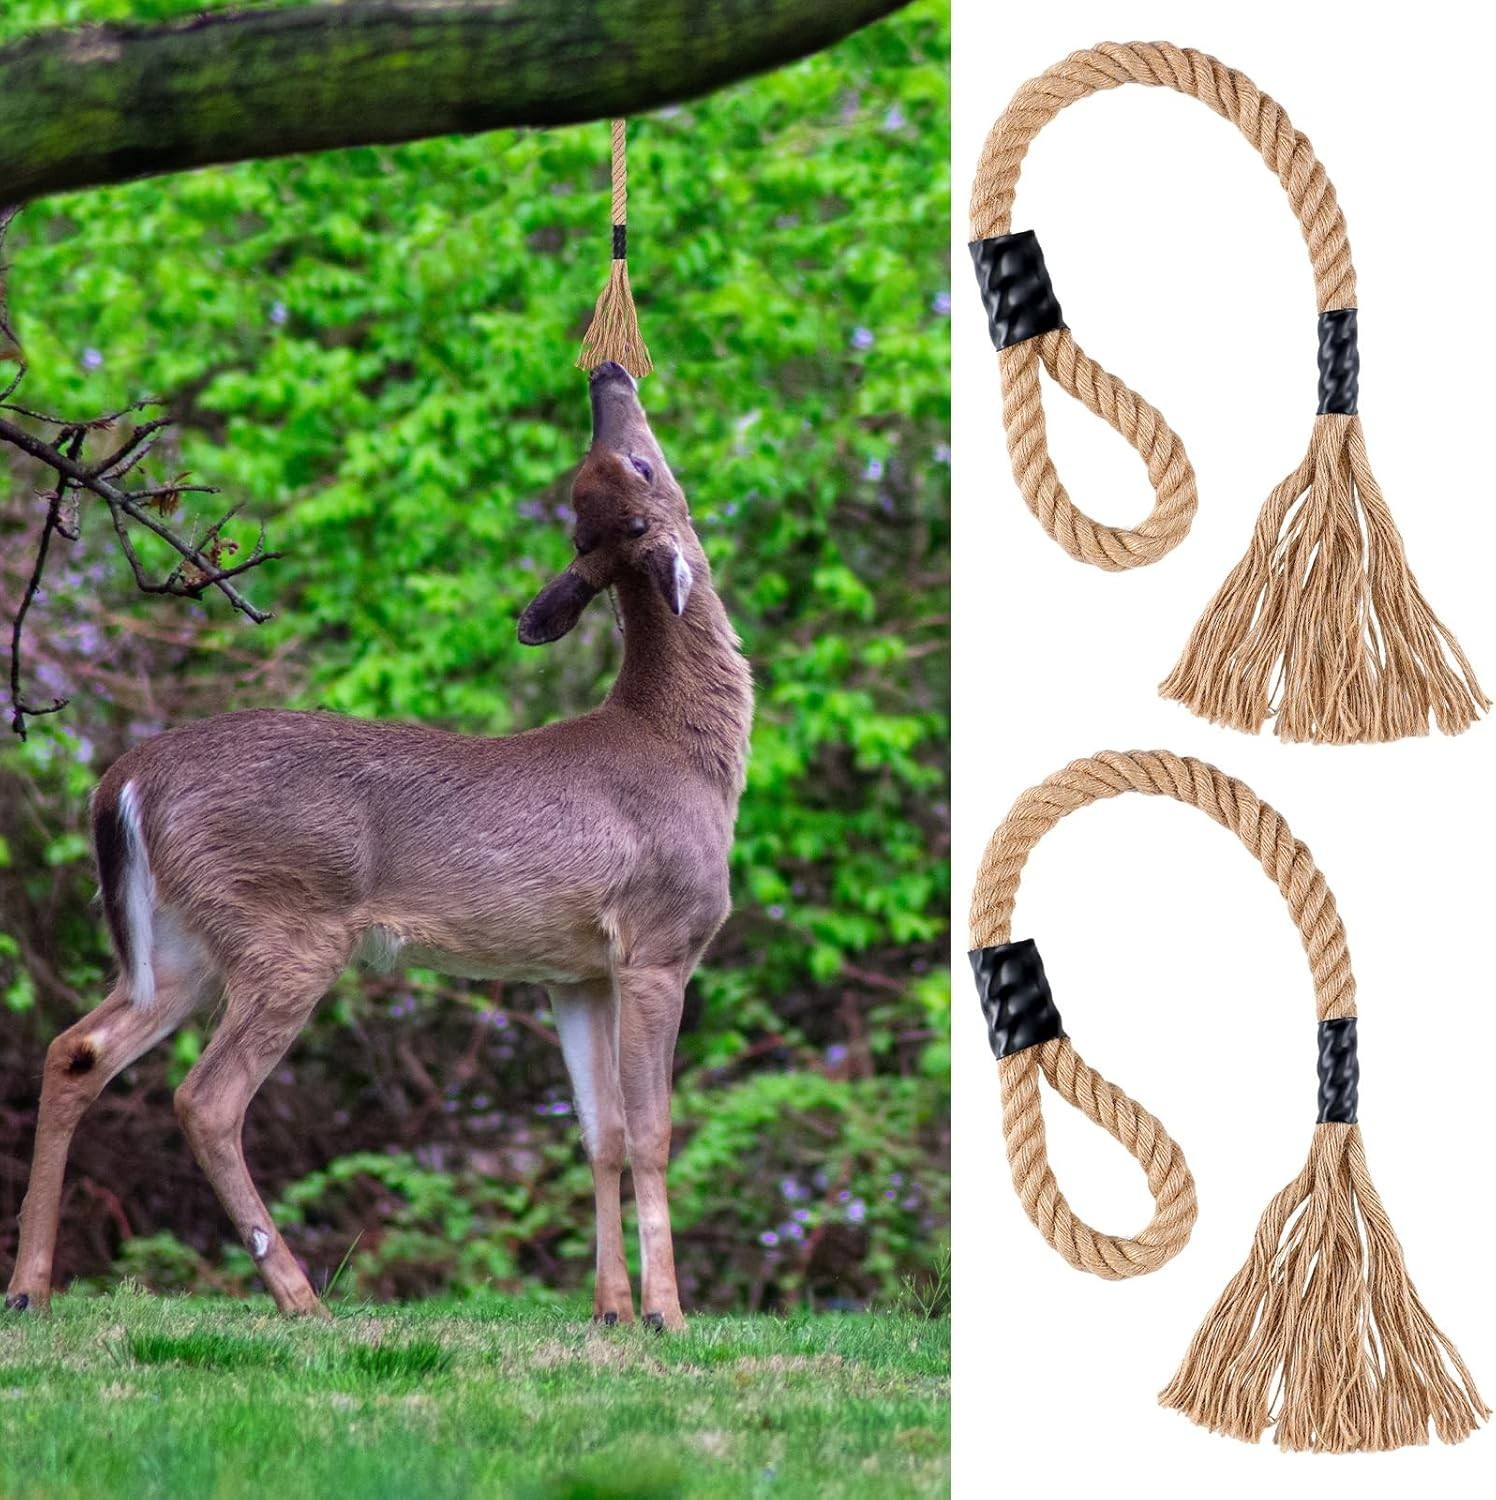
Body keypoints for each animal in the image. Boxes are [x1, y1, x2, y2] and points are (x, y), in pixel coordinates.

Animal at [4, 362, 754, 1332]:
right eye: (643, 464)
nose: (606, 372)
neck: (686, 753)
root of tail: (119, 782)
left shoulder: (576, 969)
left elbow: (603, 1135)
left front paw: (610, 1311)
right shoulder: (660, 939)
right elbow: (655, 1131)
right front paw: (666, 1314)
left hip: (177, 943)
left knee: (77, 1050)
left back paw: (28, 1287)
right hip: (284, 927)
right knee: (204, 1097)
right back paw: (299, 1299)